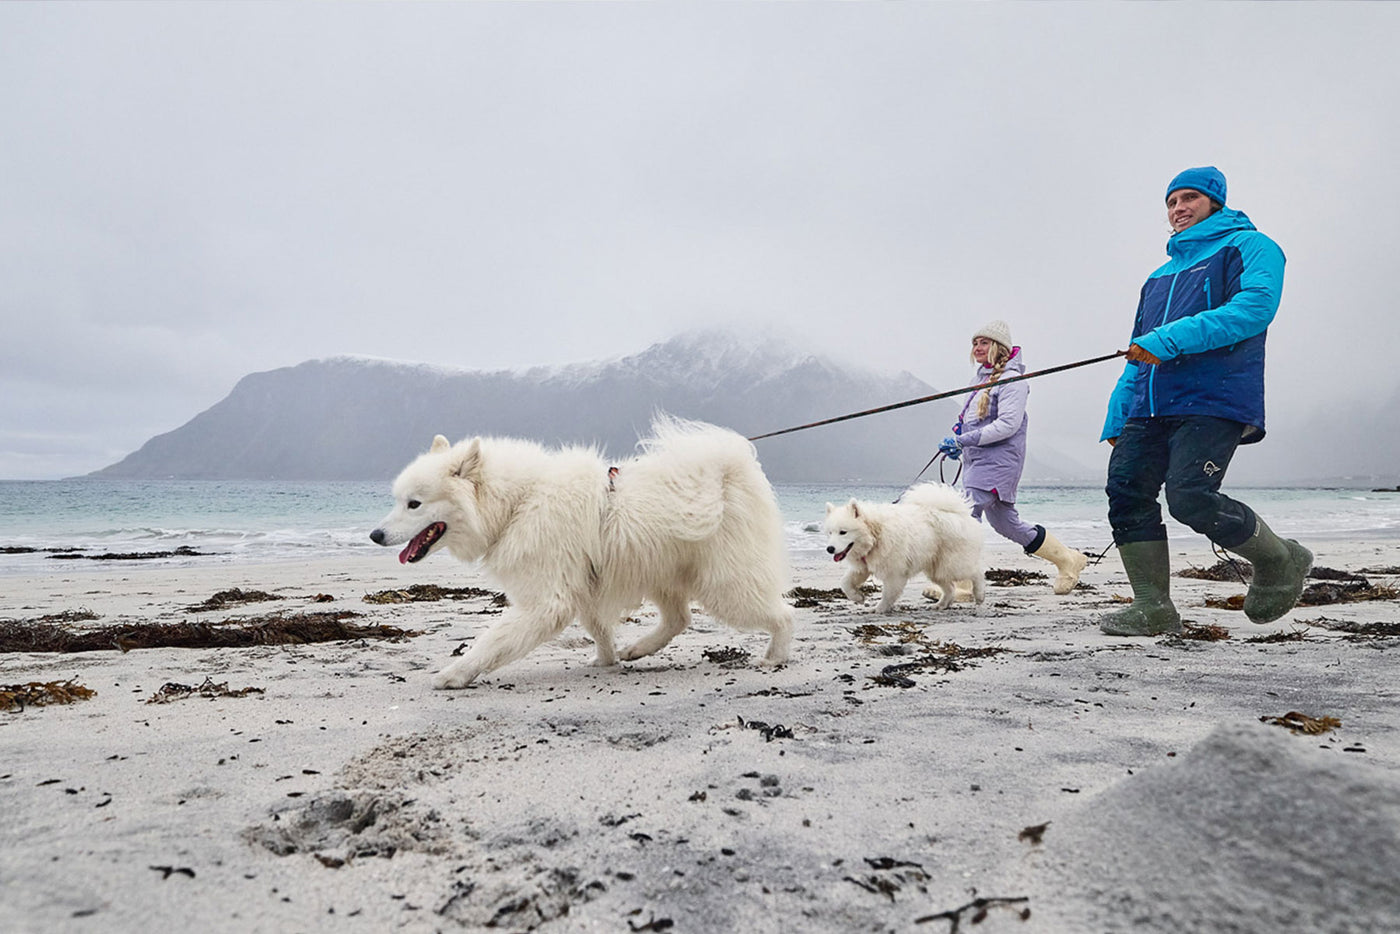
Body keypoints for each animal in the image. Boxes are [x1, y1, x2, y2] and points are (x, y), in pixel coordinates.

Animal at [366, 417, 795, 686]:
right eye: (399, 500)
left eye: (415, 504)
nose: (374, 534)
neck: (519, 502)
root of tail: (730, 471)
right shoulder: (583, 587)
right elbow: (598, 629)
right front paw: (606, 660)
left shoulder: (547, 599)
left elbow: (493, 640)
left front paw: (455, 674)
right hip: (662, 573)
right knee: (679, 619)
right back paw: (637, 649)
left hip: (724, 585)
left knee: (783, 614)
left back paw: (775, 656)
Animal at [817, 487, 985, 616]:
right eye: (830, 533)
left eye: (843, 532)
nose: (829, 549)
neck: (876, 535)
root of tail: (959, 513)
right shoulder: (862, 567)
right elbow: (845, 582)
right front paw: (858, 597)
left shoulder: (894, 572)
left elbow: (888, 594)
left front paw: (879, 608)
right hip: (936, 567)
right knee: (949, 587)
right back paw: (941, 604)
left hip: (953, 563)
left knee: (976, 572)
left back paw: (980, 595)